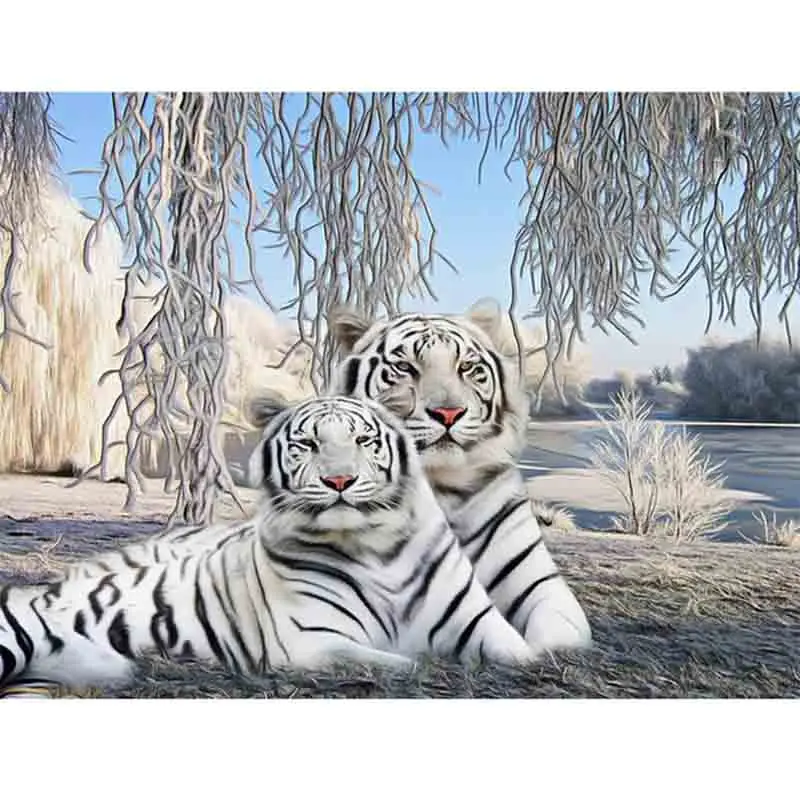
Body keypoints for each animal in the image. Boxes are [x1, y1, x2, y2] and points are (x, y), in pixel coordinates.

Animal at [0, 395, 535, 696]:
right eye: (307, 445)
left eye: (364, 441)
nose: (339, 480)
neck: (377, 549)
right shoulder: (310, 642)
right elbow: (398, 659)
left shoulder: (481, 623)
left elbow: (523, 654)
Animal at [328, 300, 592, 658]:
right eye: (405, 367)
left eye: (466, 367)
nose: (449, 413)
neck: (441, 485)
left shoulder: (539, 583)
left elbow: (554, 632)